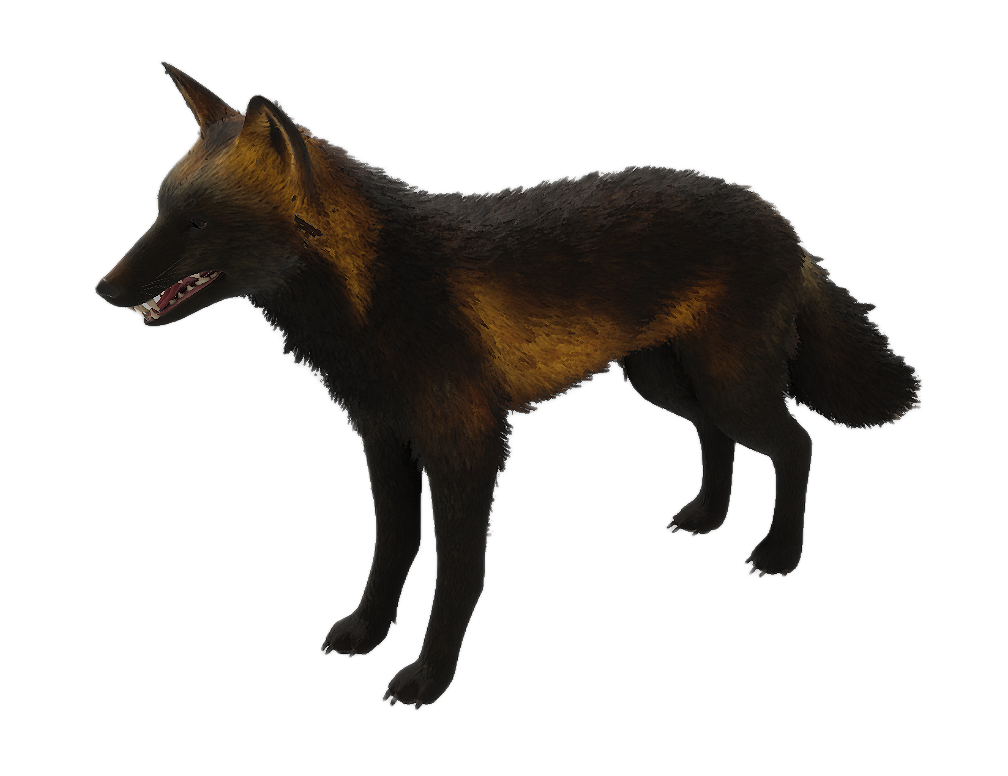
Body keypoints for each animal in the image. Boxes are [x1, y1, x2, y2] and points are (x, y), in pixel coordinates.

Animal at [94, 61, 923, 709]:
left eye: (197, 224)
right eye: (160, 210)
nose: (104, 289)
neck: (379, 293)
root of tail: (781, 218)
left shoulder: (468, 448)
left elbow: (458, 575)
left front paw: (428, 677)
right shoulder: (384, 441)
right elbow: (392, 551)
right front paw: (367, 632)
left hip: (730, 383)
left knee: (796, 444)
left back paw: (779, 552)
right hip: (663, 380)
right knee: (718, 439)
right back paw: (706, 516)